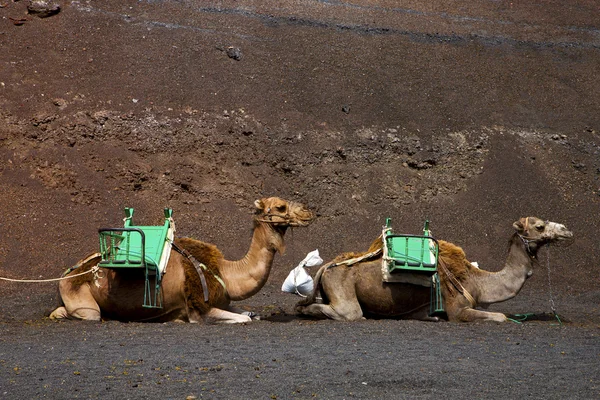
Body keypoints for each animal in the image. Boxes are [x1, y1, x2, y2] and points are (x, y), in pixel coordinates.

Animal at [49, 198, 316, 324]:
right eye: (280, 207)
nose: (308, 211)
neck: (226, 272)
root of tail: (67, 274)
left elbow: (251, 314)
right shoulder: (198, 309)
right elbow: (244, 319)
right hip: (83, 301)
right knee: (86, 314)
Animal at [298, 217, 576, 324]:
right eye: (540, 226)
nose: (567, 231)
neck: (478, 281)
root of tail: (328, 265)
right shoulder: (457, 309)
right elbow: (500, 317)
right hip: (342, 288)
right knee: (349, 313)